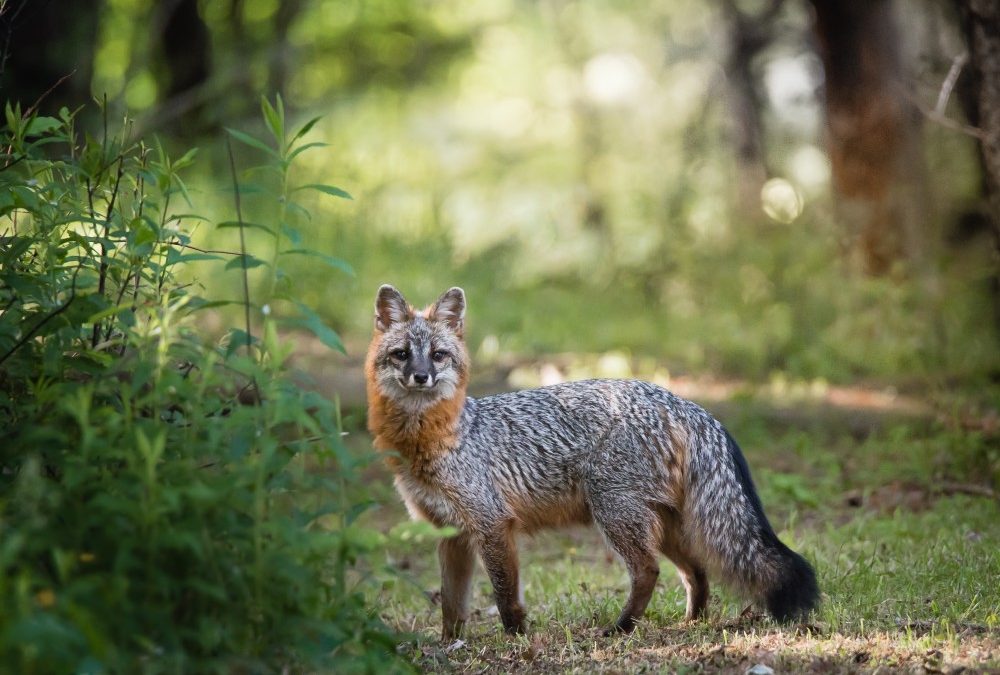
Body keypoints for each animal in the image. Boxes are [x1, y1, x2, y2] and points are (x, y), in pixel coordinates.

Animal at [365, 284, 819, 639]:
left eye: (438, 355)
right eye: (402, 354)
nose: (421, 376)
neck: (436, 439)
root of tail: (684, 403)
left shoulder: (491, 524)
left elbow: (505, 595)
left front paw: (516, 639)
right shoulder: (452, 534)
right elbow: (451, 605)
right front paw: (450, 645)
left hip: (615, 513)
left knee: (649, 571)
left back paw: (622, 628)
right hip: (664, 525)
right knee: (696, 571)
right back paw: (691, 623)